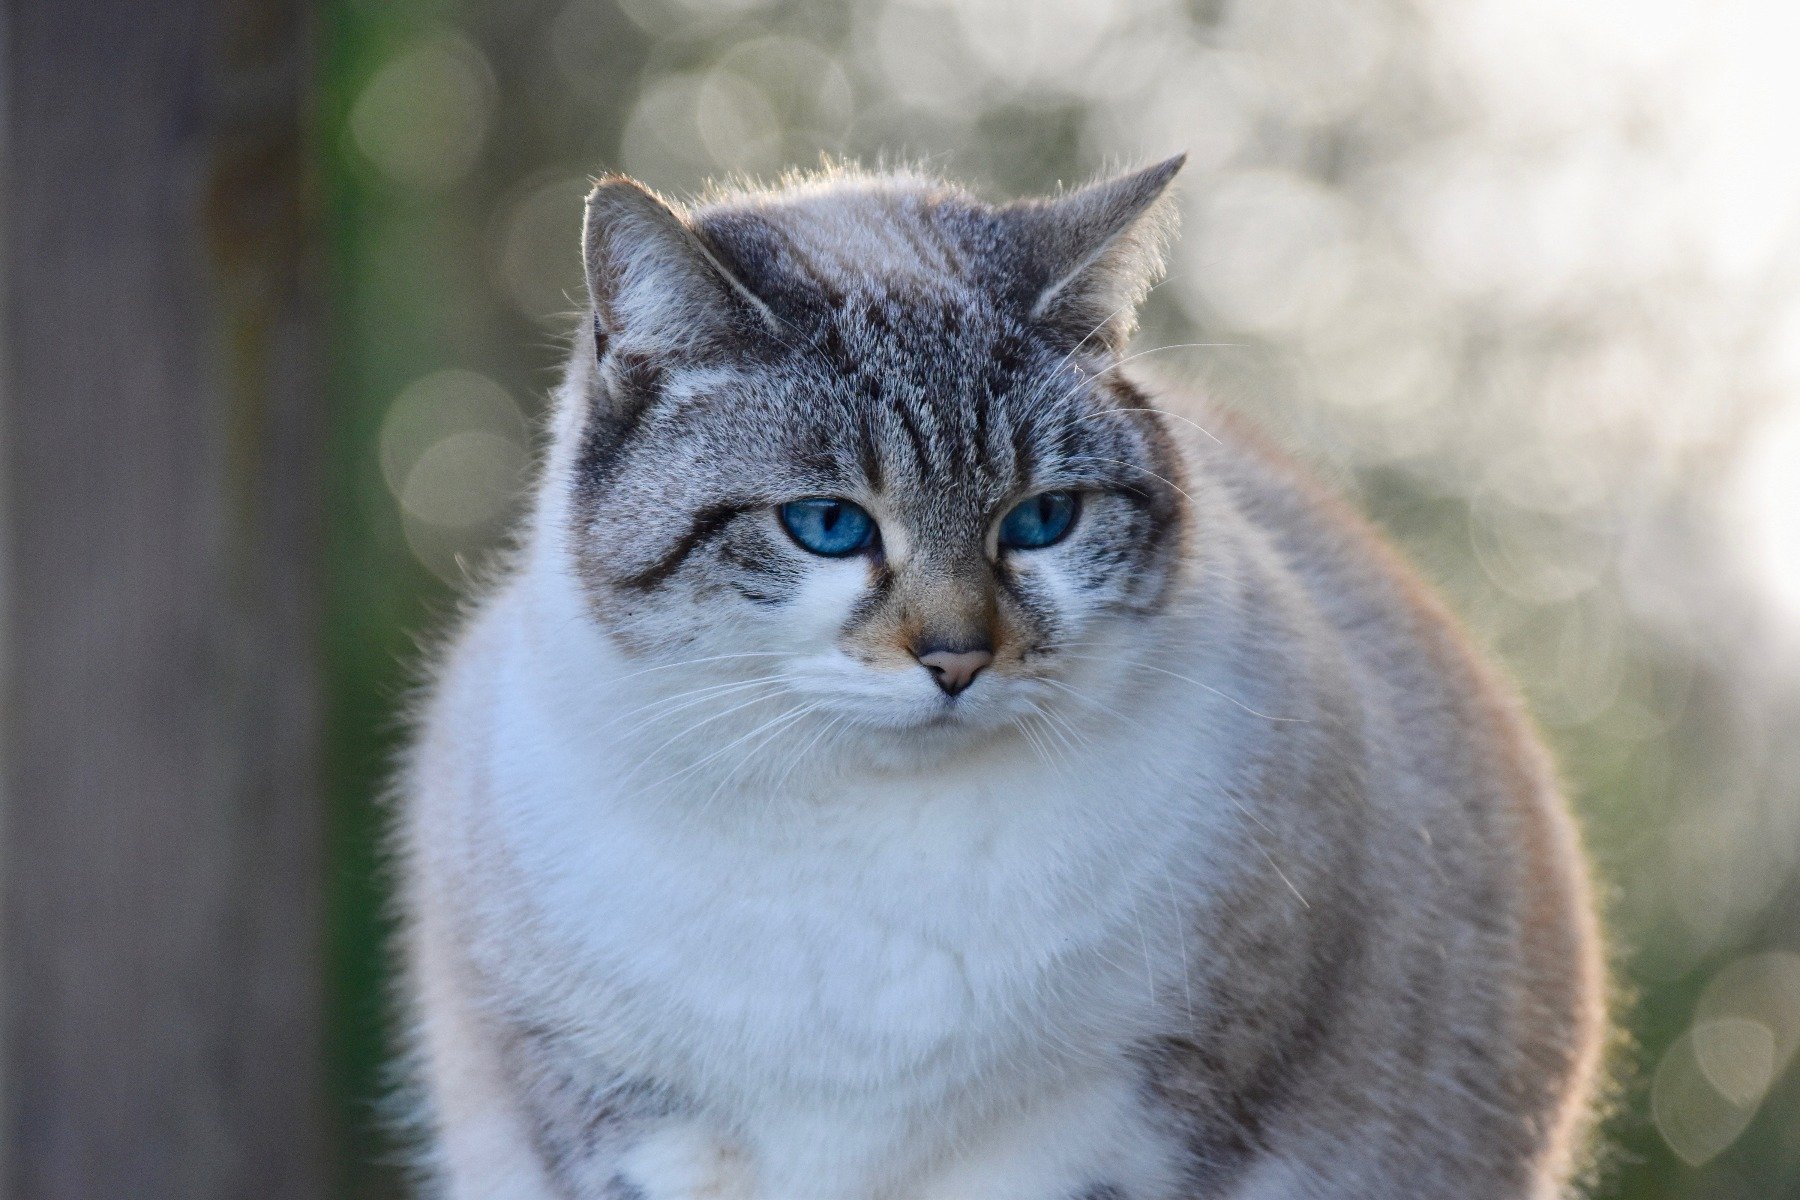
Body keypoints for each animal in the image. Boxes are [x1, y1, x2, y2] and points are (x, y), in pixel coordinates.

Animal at [397, 161, 1605, 1200]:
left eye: (1041, 520)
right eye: (827, 525)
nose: (958, 658)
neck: (867, 853)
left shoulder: (1108, 1123)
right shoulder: (623, 1117)